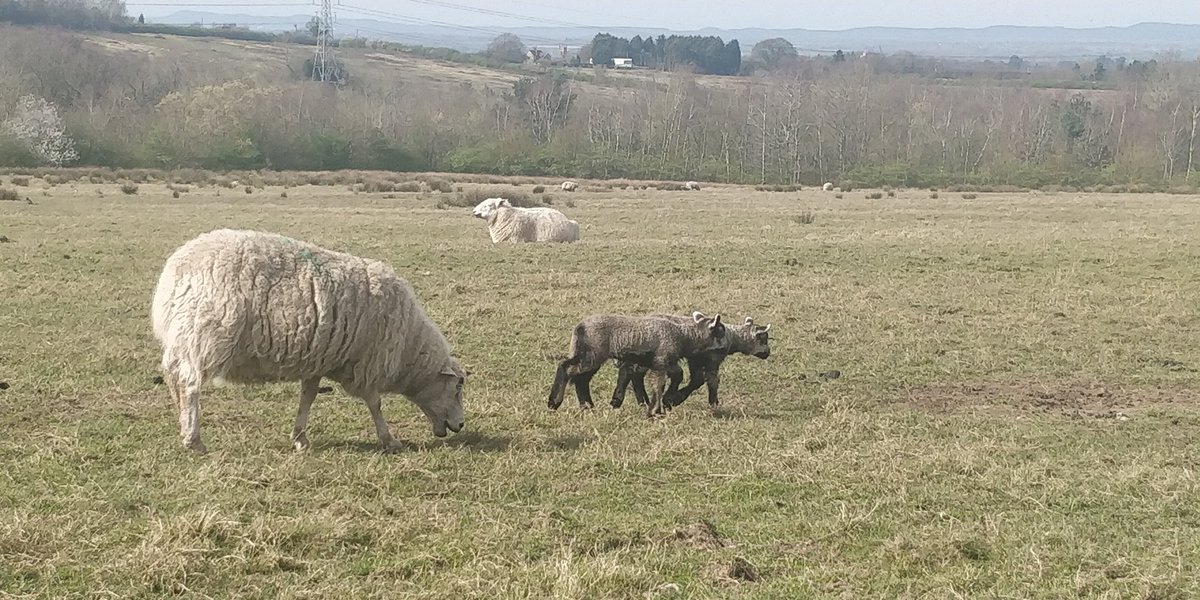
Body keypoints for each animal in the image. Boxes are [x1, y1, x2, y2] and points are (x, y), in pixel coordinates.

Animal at [150, 228, 467, 453]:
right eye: (456, 390)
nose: (461, 425)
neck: (410, 350)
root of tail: (174, 273)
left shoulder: (319, 359)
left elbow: (308, 397)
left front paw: (300, 438)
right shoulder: (364, 363)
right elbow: (375, 403)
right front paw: (389, 439)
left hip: (184, 337)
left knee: (173, 377)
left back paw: (183, 423)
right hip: (204, 337)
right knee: (190, 385)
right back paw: (194, 440)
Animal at [547, 312, 727, 417]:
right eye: (721, 330)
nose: (726, 347)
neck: (683, 335)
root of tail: (580, 327)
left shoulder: (663, 362)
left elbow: (674, 377)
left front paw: (665, 403)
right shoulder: (661, 360)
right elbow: (660, 384)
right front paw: (656, 410)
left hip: (591, 357)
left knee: (581, 380)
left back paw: (588, 407)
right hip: (591, 355)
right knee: (565, 368)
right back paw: (554, 402)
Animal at [611, 316, 771, 410]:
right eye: (763, 339)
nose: (768, 353)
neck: (732, 338)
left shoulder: (696, 361)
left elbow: (699, 379)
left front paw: (673, 399)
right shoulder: (711, 359)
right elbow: (710, 380)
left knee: (632, 372)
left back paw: (635, 400)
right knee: (631, 371)